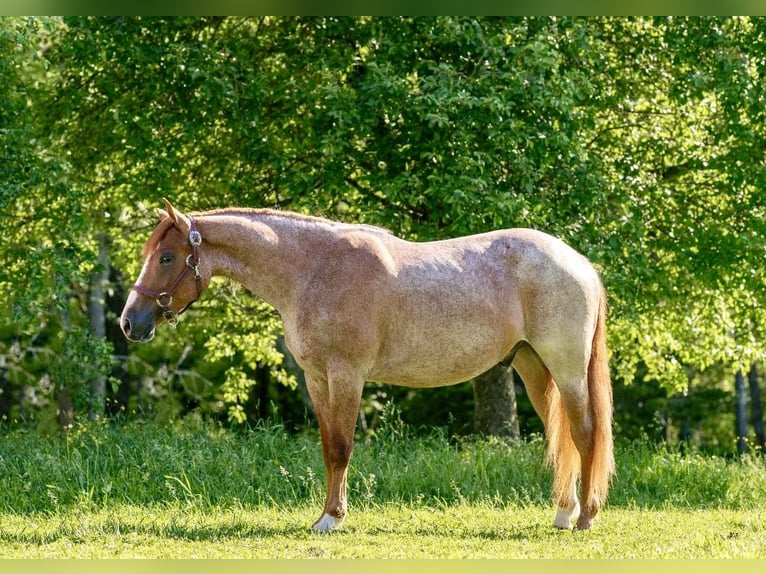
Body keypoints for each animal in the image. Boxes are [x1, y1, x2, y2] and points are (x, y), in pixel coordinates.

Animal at [120, 199, 615, 532]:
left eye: (166, 257)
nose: (129, 322)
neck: (312, 270)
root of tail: (579, 263)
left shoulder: (347, 375)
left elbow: (342, 447)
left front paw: (332, 520)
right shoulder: (317, 379)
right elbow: (327, 448)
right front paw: (324, 514)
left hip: (567, 369)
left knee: (585, 432)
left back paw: (587, 516)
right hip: (533, 368)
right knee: (563, 435)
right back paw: (564, 512)